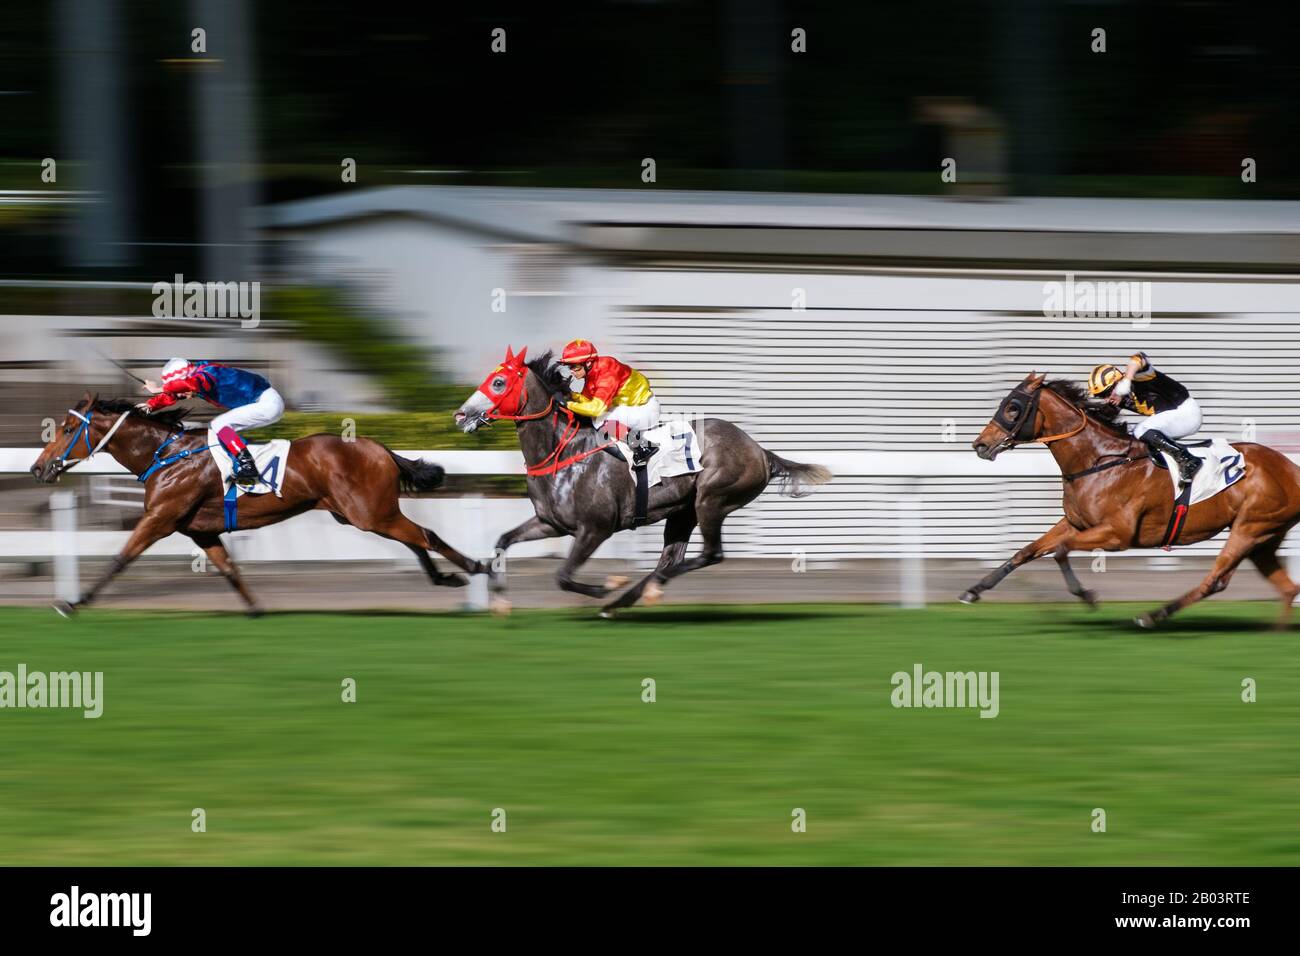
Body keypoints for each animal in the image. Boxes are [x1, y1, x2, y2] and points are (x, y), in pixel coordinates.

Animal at [29, 392, 488, 616]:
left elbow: (120, 558)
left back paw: (474, 568)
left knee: (425, 535)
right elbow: (230, 569)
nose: (38, 468)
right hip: (363, 513)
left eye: (67, 429)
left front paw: (74, 602)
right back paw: (445, 578)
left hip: (369, 512)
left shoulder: (160, 518)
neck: (166, 454)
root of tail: (379, 447)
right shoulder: (200, 530)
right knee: (415, 539)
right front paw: (255, 609)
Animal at [452, 348, 826, 616]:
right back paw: (628, 599)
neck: (564, 452)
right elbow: (502, 541)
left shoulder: (595, 528)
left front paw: (607, 584)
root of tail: (759, 450)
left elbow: (563, 576)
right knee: (672, 557)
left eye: (499, 382)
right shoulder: (551, 523)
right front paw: (500, 602)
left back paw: (641, 591)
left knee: (711, 554)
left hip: (712, 500)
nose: (460, 415)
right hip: (683, 510)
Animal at [961, 371, 1300, 629]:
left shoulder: (1117, 535)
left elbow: (1059, 551)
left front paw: (1087, 595)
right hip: (1264, 537)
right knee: (1286, 587)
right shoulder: (1074, 523)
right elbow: (1026, 551)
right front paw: (973, 591)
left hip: (1250, 527)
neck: (1099, 460)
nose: (980, 445)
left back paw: (1152, 615)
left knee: (1215, 580)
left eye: (1013, 407)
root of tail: (1291, 469)